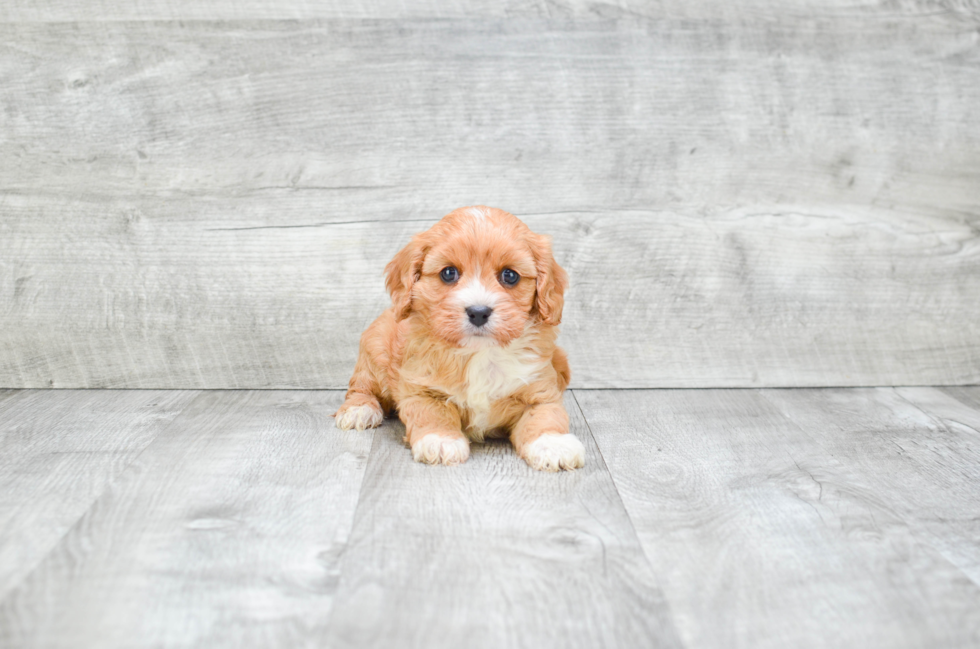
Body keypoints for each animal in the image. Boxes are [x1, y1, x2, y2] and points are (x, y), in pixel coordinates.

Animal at [334, 206, 584, 470]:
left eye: (510, 275)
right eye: (448, 273)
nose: (478, 312)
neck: (479, 353)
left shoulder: (539, 388)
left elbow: (545, 416)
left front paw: (553, 444)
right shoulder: (421, 387)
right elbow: (432, 413)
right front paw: (440, 440)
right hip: (374, 353)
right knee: (361, 387)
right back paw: (359, 410)